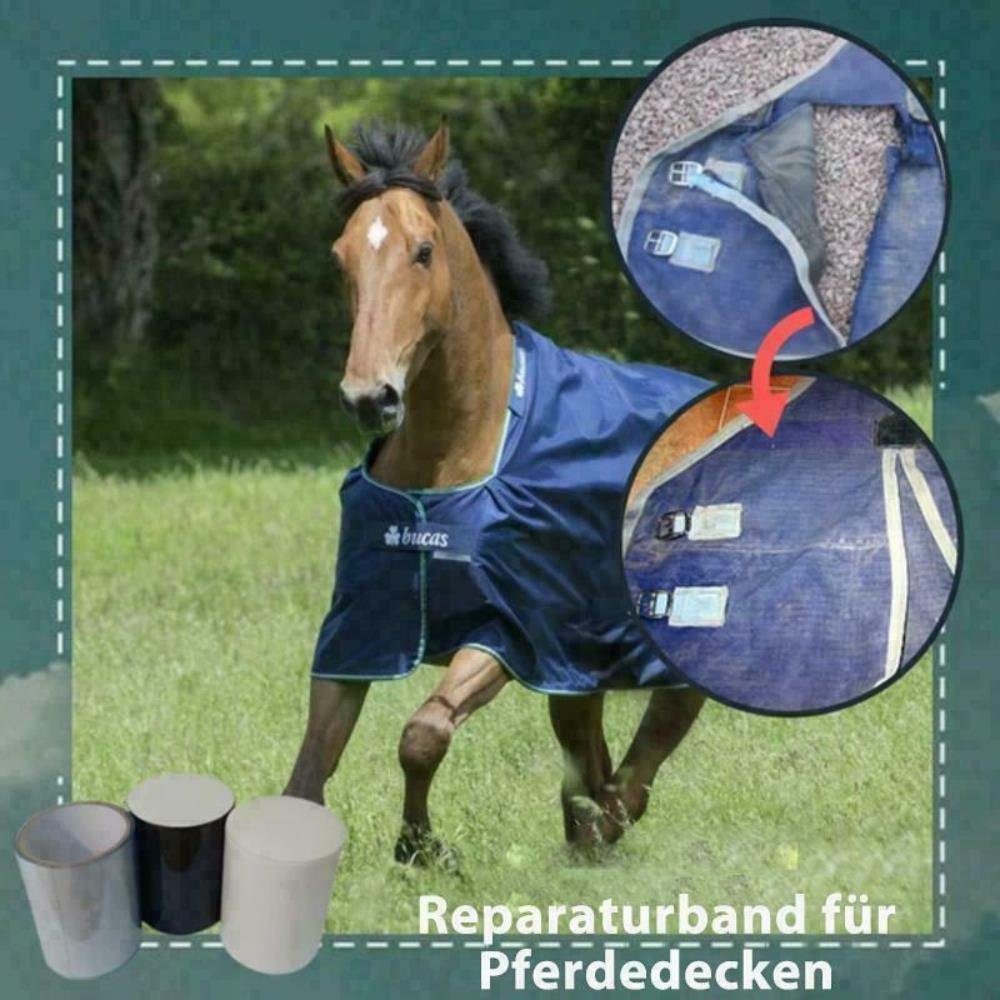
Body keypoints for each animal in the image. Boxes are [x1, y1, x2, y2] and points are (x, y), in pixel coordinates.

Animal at [283, 119, 708, 865]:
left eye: (423, 251)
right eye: (341, 258)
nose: (369, 397)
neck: (449, 464)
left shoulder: (508, 630)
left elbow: (422, 734)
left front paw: (422, 849)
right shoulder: (356, 633)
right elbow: (310, 768)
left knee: (651, 747)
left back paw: (606, 826)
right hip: (575, 667)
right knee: (588, 752)